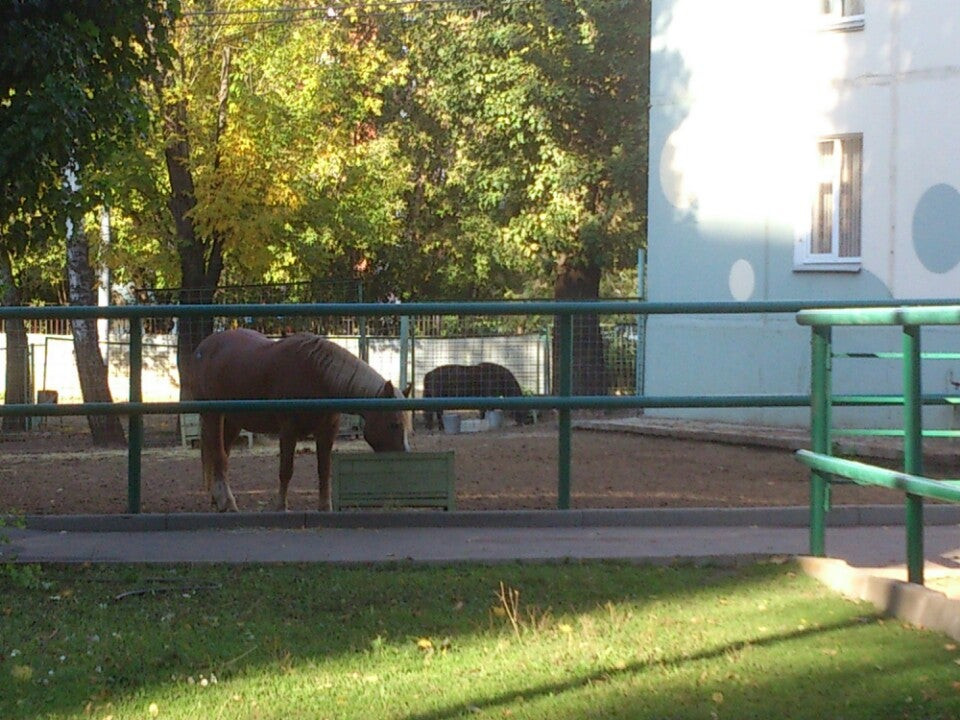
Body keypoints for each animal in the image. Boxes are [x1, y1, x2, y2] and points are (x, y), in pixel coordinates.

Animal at [186, 330, 410, 516]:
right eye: (394, 424)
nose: (405, 459)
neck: (318, 376)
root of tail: (203, 347)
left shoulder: (327, 432)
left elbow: (324, 469)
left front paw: (325, 507)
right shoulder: (288, 431)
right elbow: (286, 470)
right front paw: (281, 507)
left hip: (232, 421)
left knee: (221, 455)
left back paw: (217, 501)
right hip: (213, 416)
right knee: (219, 457)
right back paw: (229, 503)